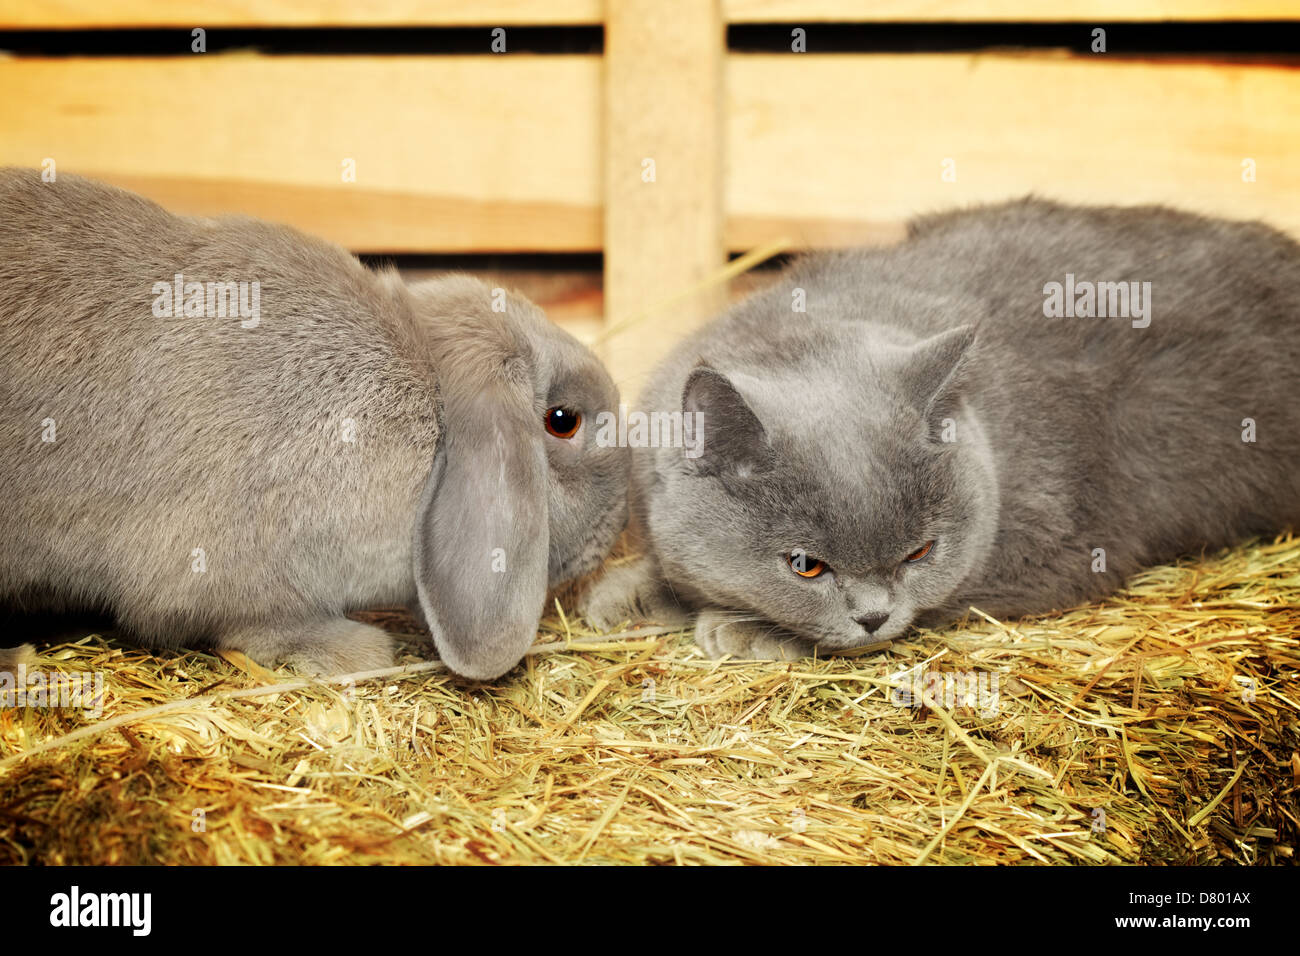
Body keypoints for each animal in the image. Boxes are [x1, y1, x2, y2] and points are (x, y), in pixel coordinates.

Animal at [0, 171, 629, 681]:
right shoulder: (220, 571)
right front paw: (355, 650)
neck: (429, 400)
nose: (617, 528)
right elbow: (246, 622)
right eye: (563, 422)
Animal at [585, 195, 1300, 658]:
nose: (873, 617)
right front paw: (627, 593)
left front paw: (744, 628)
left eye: (920, 554)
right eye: (806, 566)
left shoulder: (1052, 552)